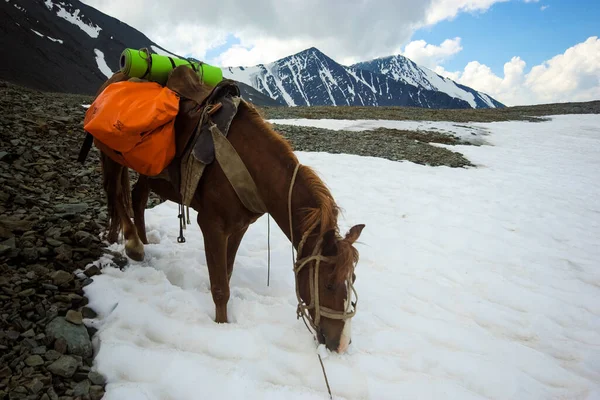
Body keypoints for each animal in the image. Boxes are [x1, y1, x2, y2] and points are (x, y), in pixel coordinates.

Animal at [94, 73, 366, 352]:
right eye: (329, 284)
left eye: (353, 279)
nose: (342, 344)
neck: (252, 167)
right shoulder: (211, 225)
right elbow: (220, 288)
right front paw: (221, 328)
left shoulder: (239, 226)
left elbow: (227, 273)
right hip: (112, 156)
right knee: (116, 194)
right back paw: (133, 244)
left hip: (148, 171)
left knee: (137, 198)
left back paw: (143, 240)